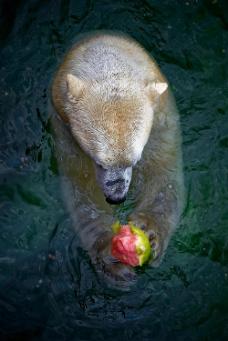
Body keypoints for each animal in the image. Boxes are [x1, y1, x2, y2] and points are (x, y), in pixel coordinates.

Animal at [50, 30, 184, 284]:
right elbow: (82, 189)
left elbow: (164, 171)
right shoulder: (66, 132)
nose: (116, 197)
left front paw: (151, 230)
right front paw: (110, 258)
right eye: (99, 162)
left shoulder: (161, 120)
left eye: (135, 160)